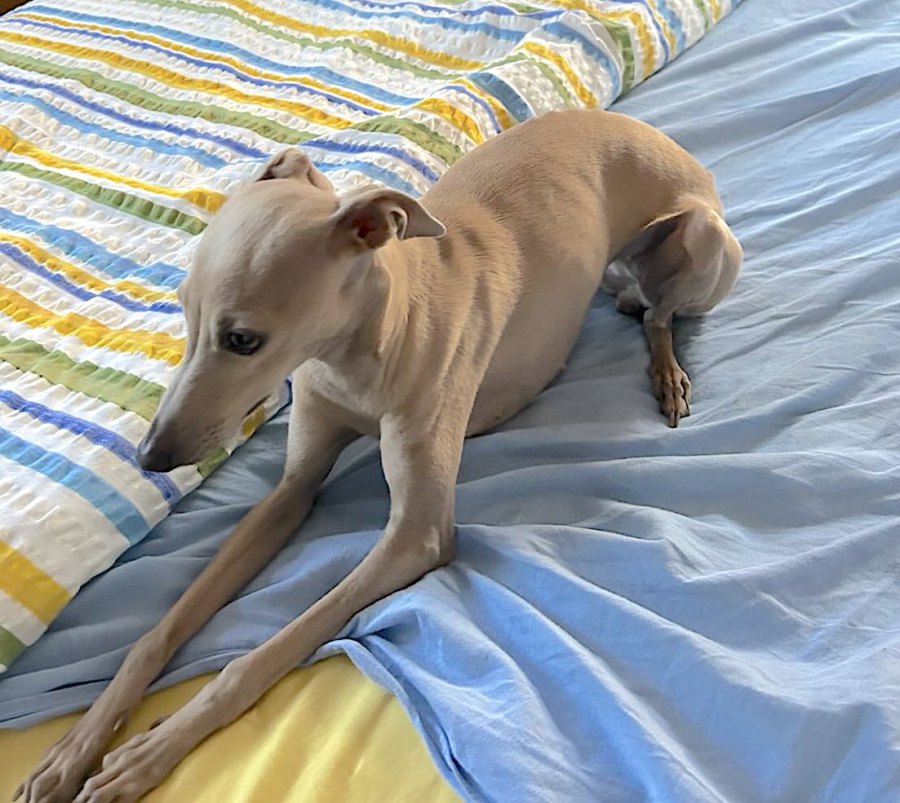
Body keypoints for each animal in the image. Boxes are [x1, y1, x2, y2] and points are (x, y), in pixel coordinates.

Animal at [18, 109, 742, 803]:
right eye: (182, 313)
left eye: (244, 338)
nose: (150, 455)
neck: (367, 348)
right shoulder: (291, 489)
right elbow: (158, 632)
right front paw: (70, 752)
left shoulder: (417, 536)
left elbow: (261, 655)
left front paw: (148, 752)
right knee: (638, 303)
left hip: (703, 239)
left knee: (659, 315)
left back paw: (667, 373)